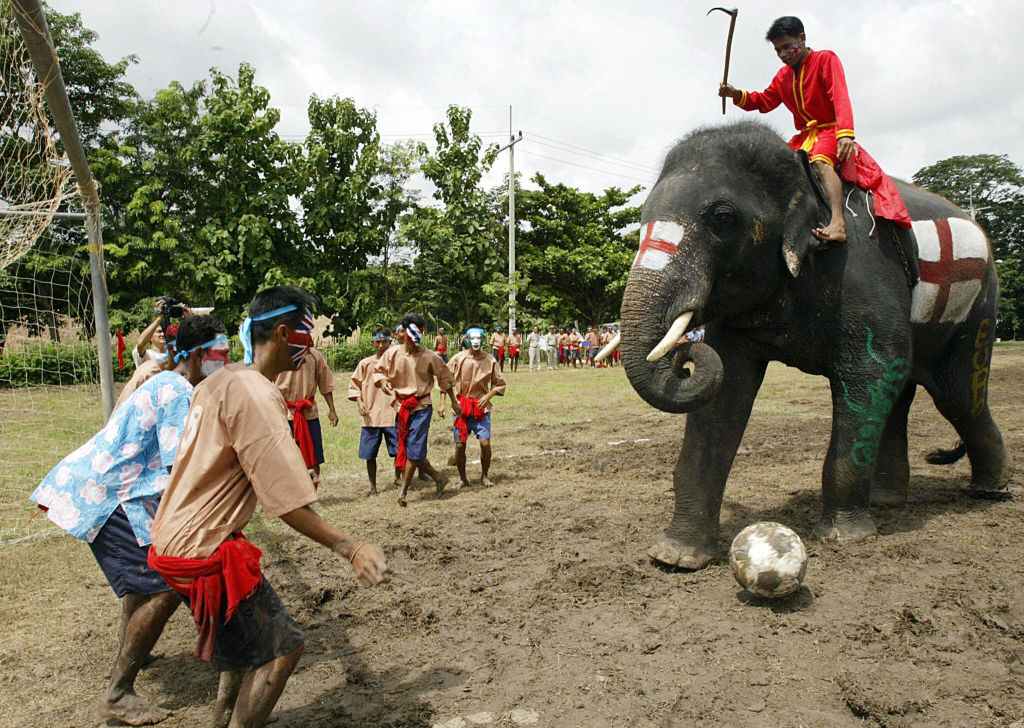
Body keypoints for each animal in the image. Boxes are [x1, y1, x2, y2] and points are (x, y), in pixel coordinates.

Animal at [618, 122, 1011, 573]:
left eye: (722, 218)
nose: (684, 355)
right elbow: (725, 393)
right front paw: (675, 558)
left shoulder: (862, 270)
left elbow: (873, 368)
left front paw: (844, 538)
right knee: (904, 394)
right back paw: (888, 501)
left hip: (978, 306)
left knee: (957, 395)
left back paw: (990, 491)